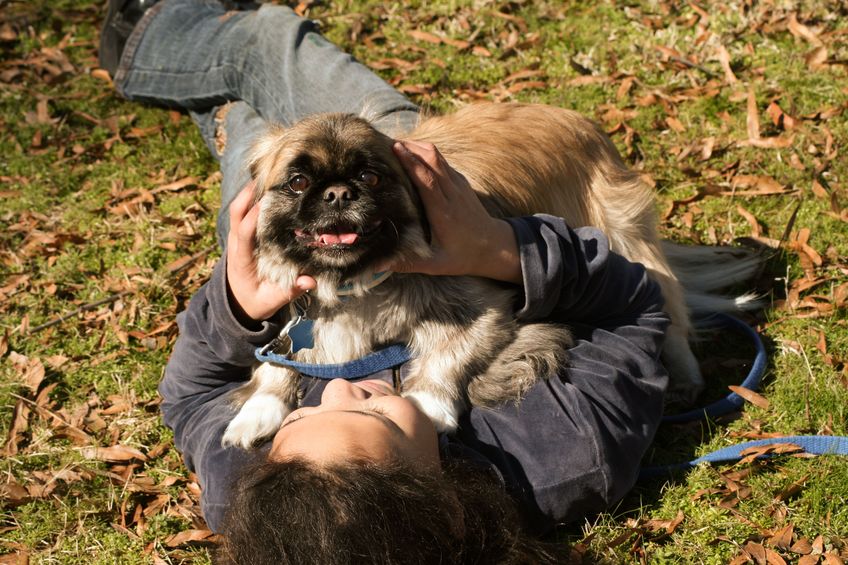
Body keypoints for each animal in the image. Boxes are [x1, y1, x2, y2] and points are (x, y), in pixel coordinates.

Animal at [220, 102, 744, 450]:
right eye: (298, 182)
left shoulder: (482, 309)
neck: (352, 281)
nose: (338, 193)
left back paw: (685, 378)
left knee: (670, 310)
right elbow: (275, 361)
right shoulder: (292, 314)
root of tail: (587, 126)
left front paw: (425, 407)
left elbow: (443, 358)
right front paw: (259, 411)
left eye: (370, 177)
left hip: (625, 238)